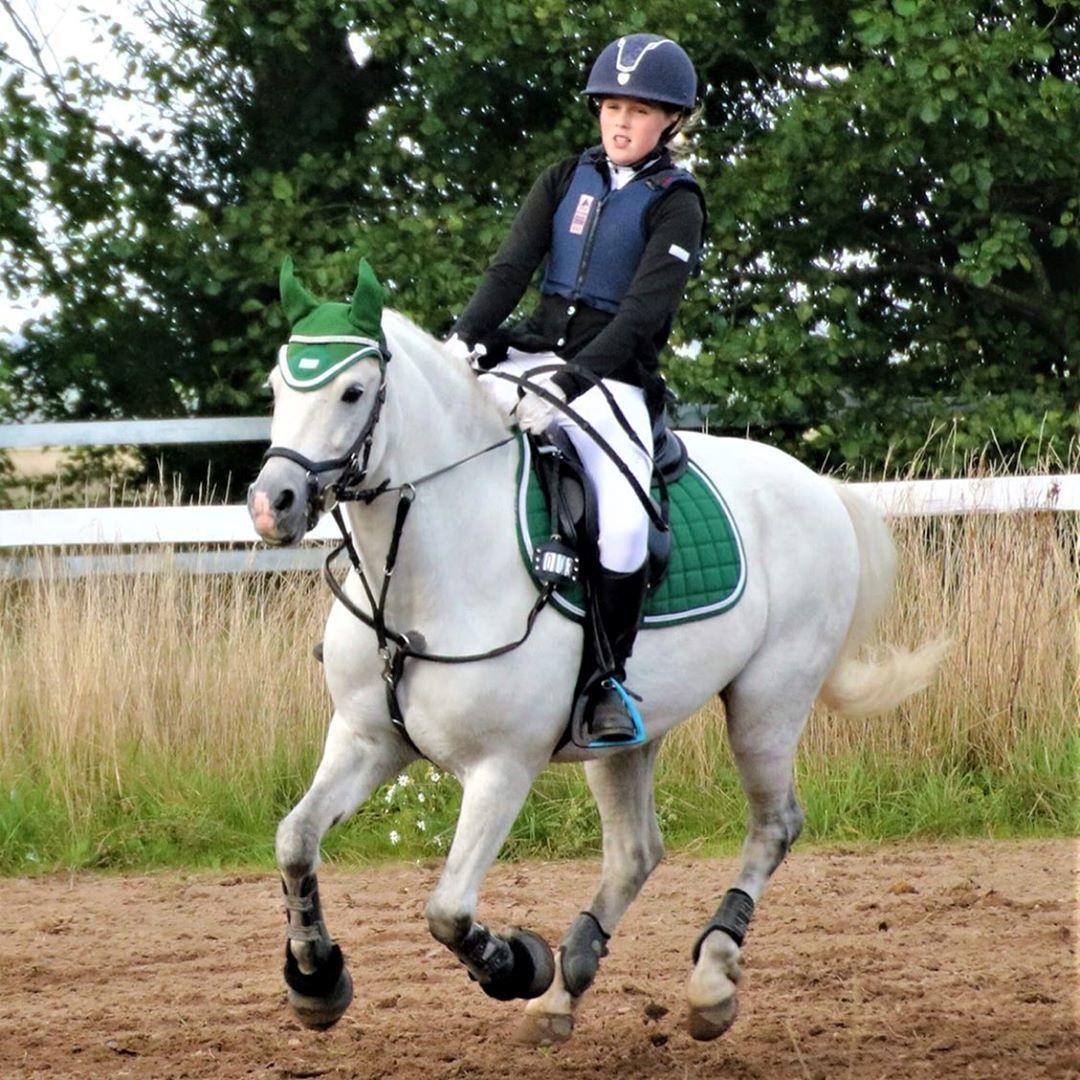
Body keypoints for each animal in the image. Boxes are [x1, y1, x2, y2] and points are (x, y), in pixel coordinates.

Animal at [247, 258, 945, 1044]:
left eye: (354, 390)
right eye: (276, 386)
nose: (272, 503)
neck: (426, 576)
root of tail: (819, 486)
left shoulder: (502, 767)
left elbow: (448, 911)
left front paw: (515, 963)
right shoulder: (367, 740)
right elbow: (295, 840)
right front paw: (315, 977)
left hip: (767, 704)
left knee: (773, 826)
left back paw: (707, 979)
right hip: (627, 735)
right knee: (636, 852)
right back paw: (565, 987)